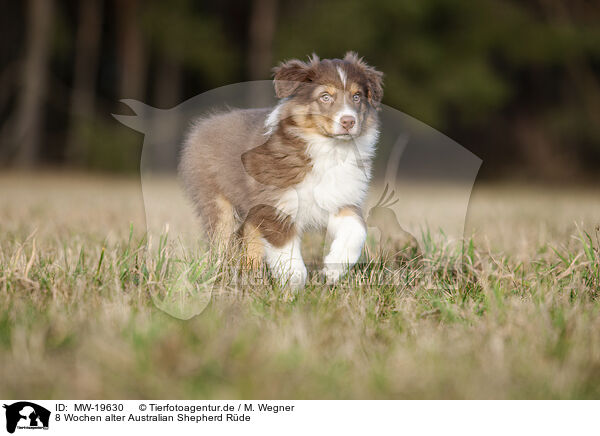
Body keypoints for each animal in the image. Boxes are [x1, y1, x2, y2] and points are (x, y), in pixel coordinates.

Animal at [180, 52, 382, 286]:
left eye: (357, 96)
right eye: (325, 97)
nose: (349, 121)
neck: (328, 149)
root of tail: (204, 124)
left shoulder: (341, 198)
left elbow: (357, 230)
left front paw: (335, 268)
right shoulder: (276, 205)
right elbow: (287, 252)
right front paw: (293, 286)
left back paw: (252, 277)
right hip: (217, 201)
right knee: (221, 241)